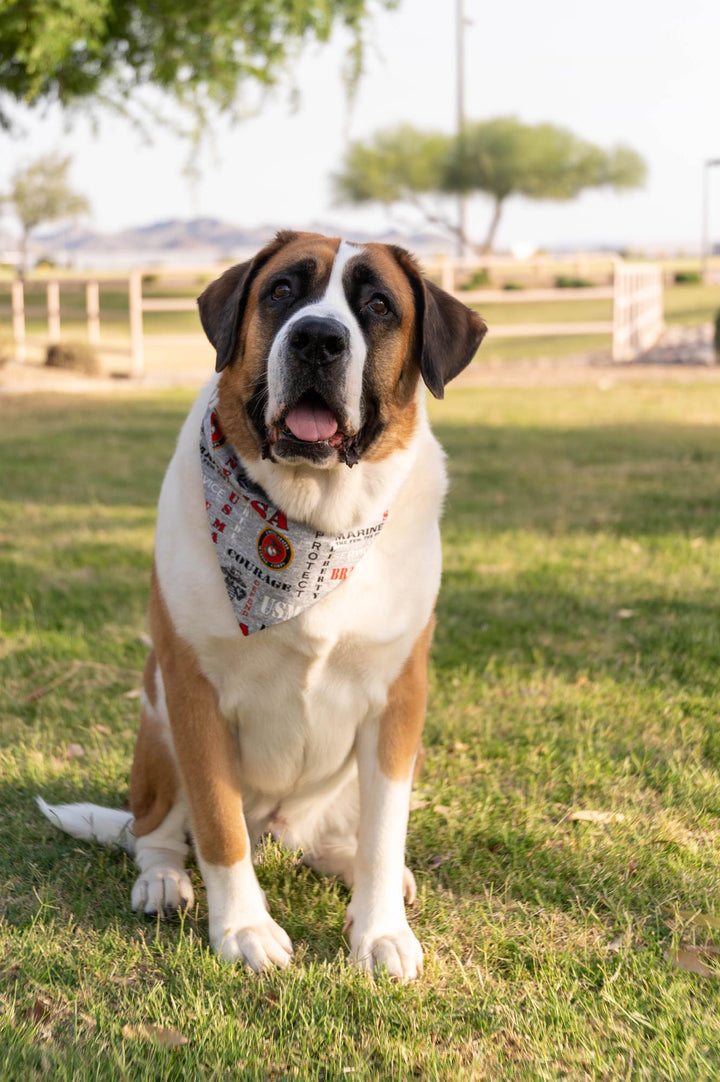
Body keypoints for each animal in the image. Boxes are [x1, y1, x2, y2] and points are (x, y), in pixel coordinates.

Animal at [40, 232, 489, 986]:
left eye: (378, 305)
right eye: (281, 291)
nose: (317, 338)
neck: (312, 523)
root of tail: (278, 825)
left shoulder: (399, 701)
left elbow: (384, 832)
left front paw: (379, 932)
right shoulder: (193, 694)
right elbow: (218, 827)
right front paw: (243, 929)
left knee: (344, 835)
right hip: (156, 729)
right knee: (155, 832)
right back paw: (163, 879)